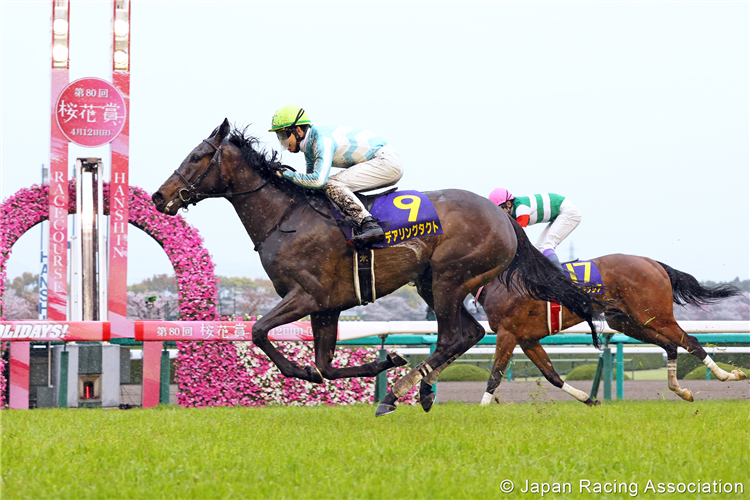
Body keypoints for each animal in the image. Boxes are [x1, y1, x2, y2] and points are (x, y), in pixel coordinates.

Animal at [151, 119, 600, 416]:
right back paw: (420, 390)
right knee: (469, 334)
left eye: (196, 157)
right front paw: (384, 361)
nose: (159, 196)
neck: (288, 216)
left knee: (453, 336)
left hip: (450, 277)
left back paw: (395, 395)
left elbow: (260, 331)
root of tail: (504, 218)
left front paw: (302, 369)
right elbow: (326, 366)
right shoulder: (327, 307)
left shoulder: (307, 295)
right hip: (431, 283)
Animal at [476, 254, 748, 406]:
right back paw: (680, 390)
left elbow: (495, 373)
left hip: (656, 315)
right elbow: (551, 375)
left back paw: (728, 375)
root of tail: (653, 263)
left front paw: (483, 408)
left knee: (690, 340)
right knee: (671, 344)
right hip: (627, 321)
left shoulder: (508, 332)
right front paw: (589, 400)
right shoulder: (527, 338)